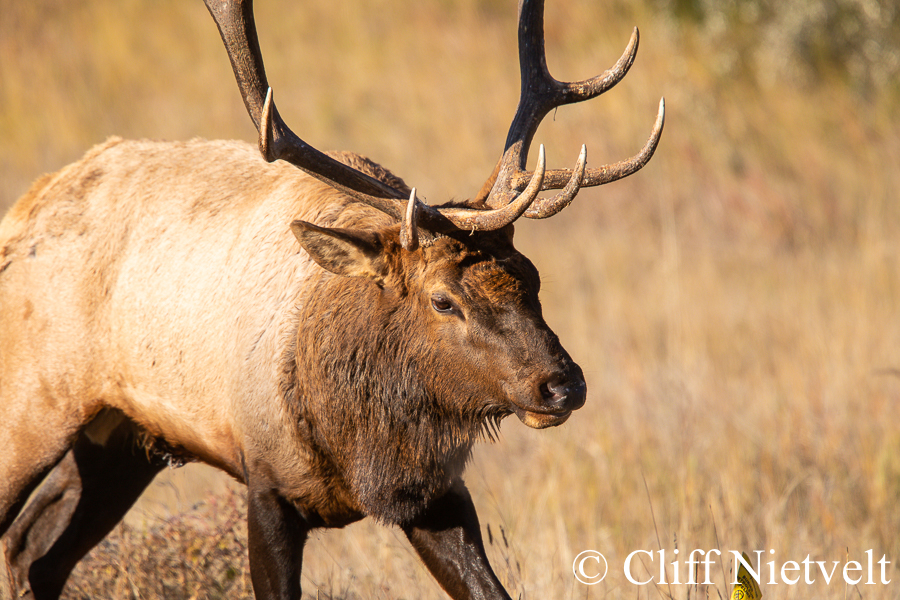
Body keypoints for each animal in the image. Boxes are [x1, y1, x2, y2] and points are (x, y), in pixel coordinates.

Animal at [0, 0, 660, 596]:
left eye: (533, 278)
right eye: (443, 300)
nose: (563, 385)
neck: (360, 442)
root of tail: (25, 207)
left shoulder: (435, 493)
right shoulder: (266, 484)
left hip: (118, 438)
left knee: (36, 552)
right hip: (31, 404)